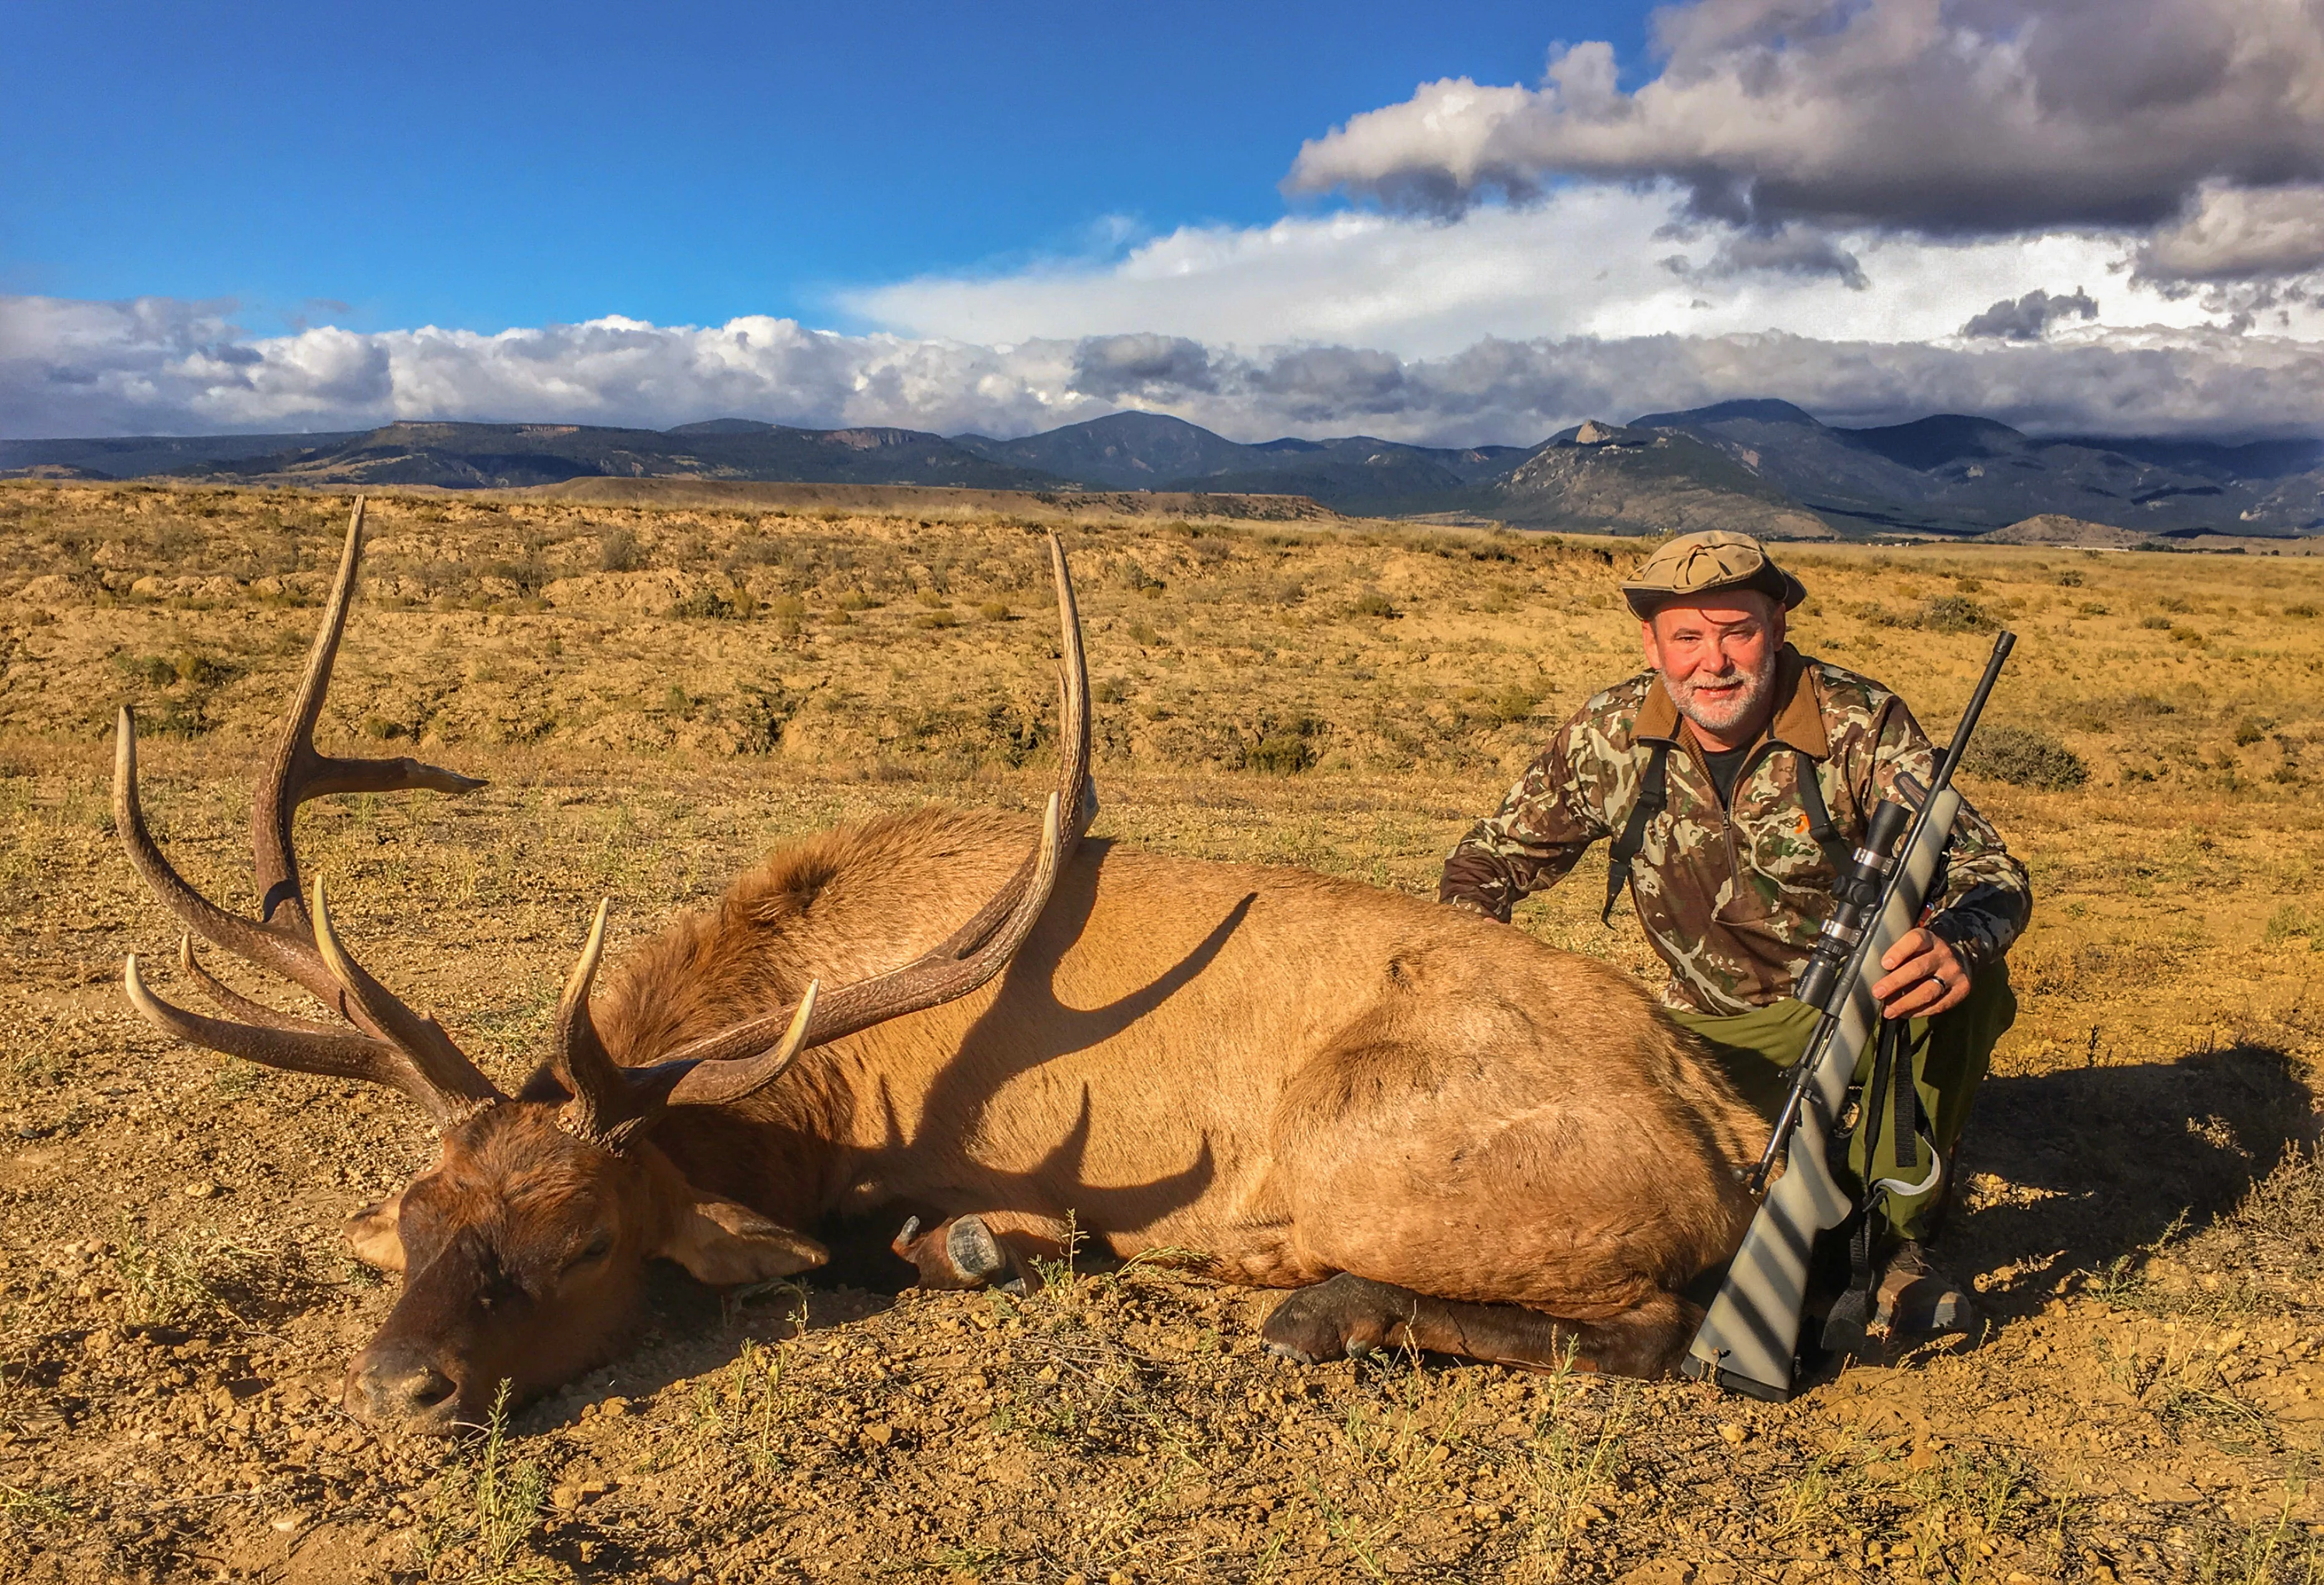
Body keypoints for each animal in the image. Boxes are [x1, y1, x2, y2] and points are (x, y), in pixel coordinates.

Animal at [117, 497, 1766, 1431]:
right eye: (418, 1213)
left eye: (584, 1239)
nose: (400, 1385)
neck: (823, 1093)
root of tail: (1725, 1123)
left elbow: (945, 1234)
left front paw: (959, 1243)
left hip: (1361, 1144)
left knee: (1651, 1322)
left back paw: (1305, 1297)